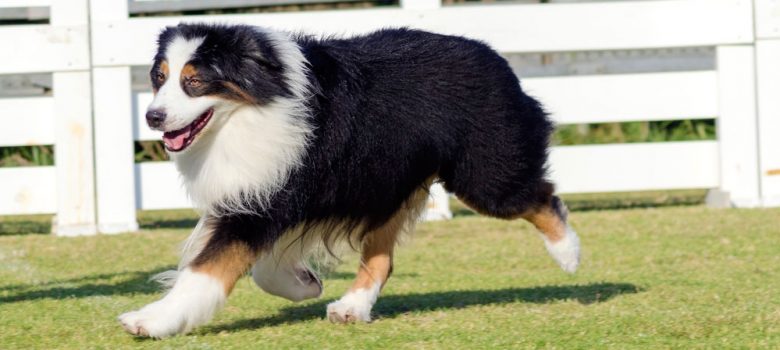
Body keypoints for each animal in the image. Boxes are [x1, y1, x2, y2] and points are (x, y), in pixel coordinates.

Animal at [117, 22, 580, 340]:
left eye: (194, 81)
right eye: (159, 77)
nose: (152, 117)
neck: (252, 107)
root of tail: (494, 56)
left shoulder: (271, 196)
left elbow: (207, 269)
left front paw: (151, 319)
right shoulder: (255, 192)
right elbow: (254, 265)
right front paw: (305, 285)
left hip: (483, 175)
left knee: (540, 196)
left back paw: (568, 253)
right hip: (388, 182)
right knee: (382, 257)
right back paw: (352, 307)